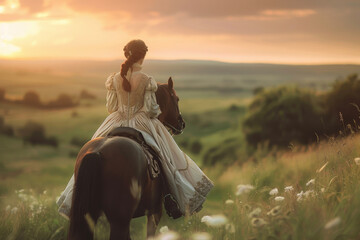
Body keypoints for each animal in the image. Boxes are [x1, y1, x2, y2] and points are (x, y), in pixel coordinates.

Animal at [68, 77, 186, 240]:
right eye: (177, 99)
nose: (181, 123)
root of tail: (97, 153)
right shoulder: (154, 212)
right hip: (120, 219)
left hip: (91, 215)